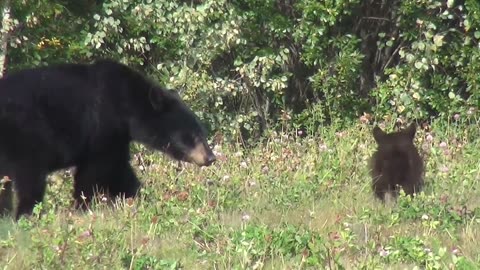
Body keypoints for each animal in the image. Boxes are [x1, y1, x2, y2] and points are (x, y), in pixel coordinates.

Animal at [0, 59, 216, 219]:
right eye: (194, 135)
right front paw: (82, 207)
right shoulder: (103, 125)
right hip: (27, 136)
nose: (211, 158)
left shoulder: (118, 137)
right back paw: (25, 215)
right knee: (30, 179)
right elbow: (95, 171)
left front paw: (139, 198)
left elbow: (120, 170)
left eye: (202, 133)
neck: (127, 106)